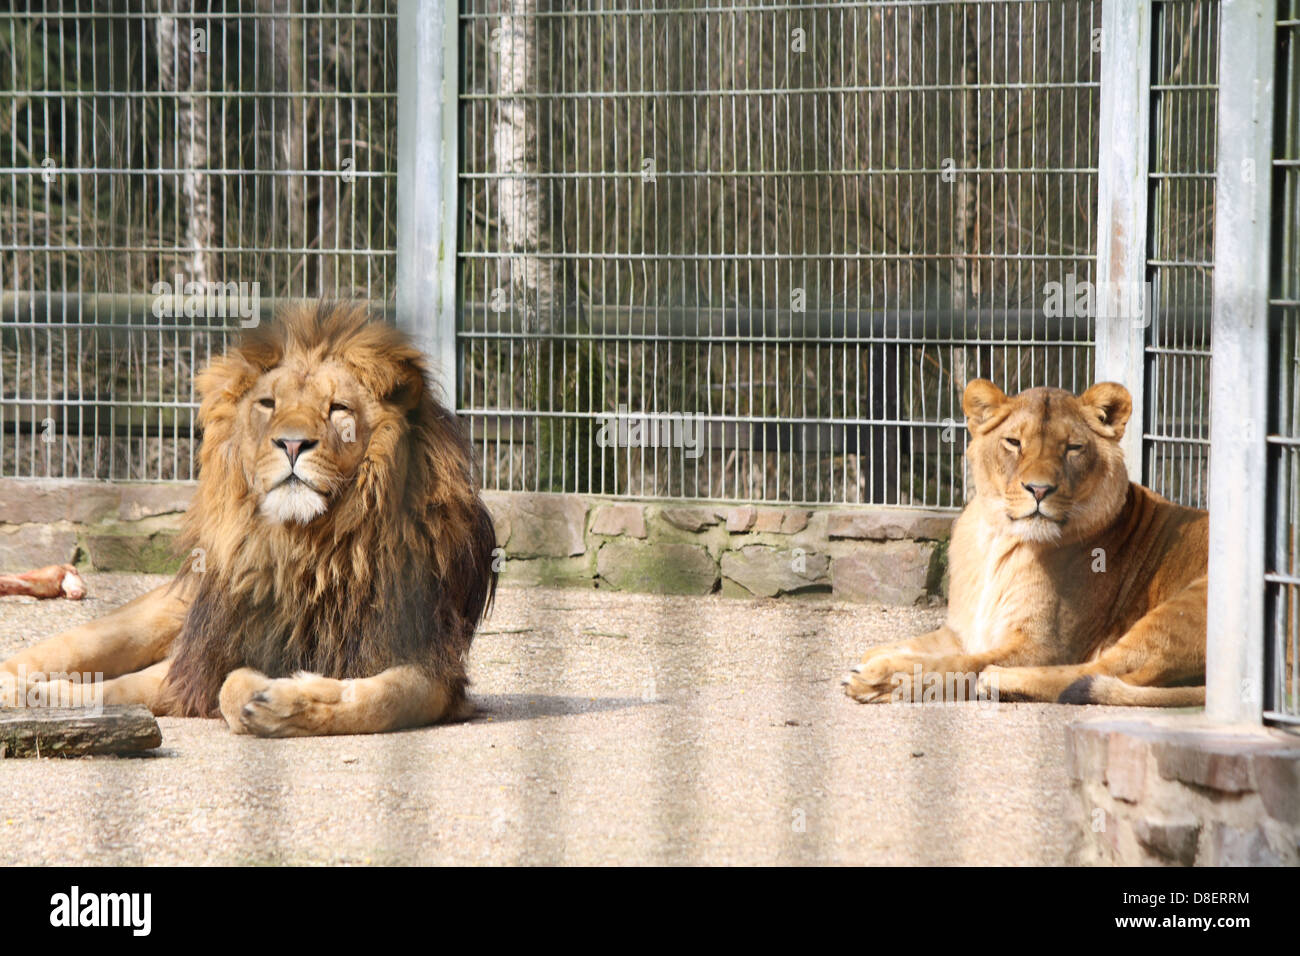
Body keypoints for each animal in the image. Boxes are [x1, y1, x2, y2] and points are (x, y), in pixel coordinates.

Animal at [0, 302, 497, 736]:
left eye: (338, 408)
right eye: (268, 404)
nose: (292, 443)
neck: (311, 547)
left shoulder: (431, 665)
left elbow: (379, 698)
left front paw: (284, 700)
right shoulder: (200, 659)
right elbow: (134, 687)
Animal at [843, 379, 1208, 707]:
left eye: (1072, 448)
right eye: (1014, 442)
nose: (1039, 489)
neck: (998, 540)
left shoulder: (1047, 646)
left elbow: (960, 664)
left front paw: (884, 677)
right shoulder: (963, 632)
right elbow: (906, 645)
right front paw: (875, 658)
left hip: (1182, 608)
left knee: (1102, 672)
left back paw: (997, 680)